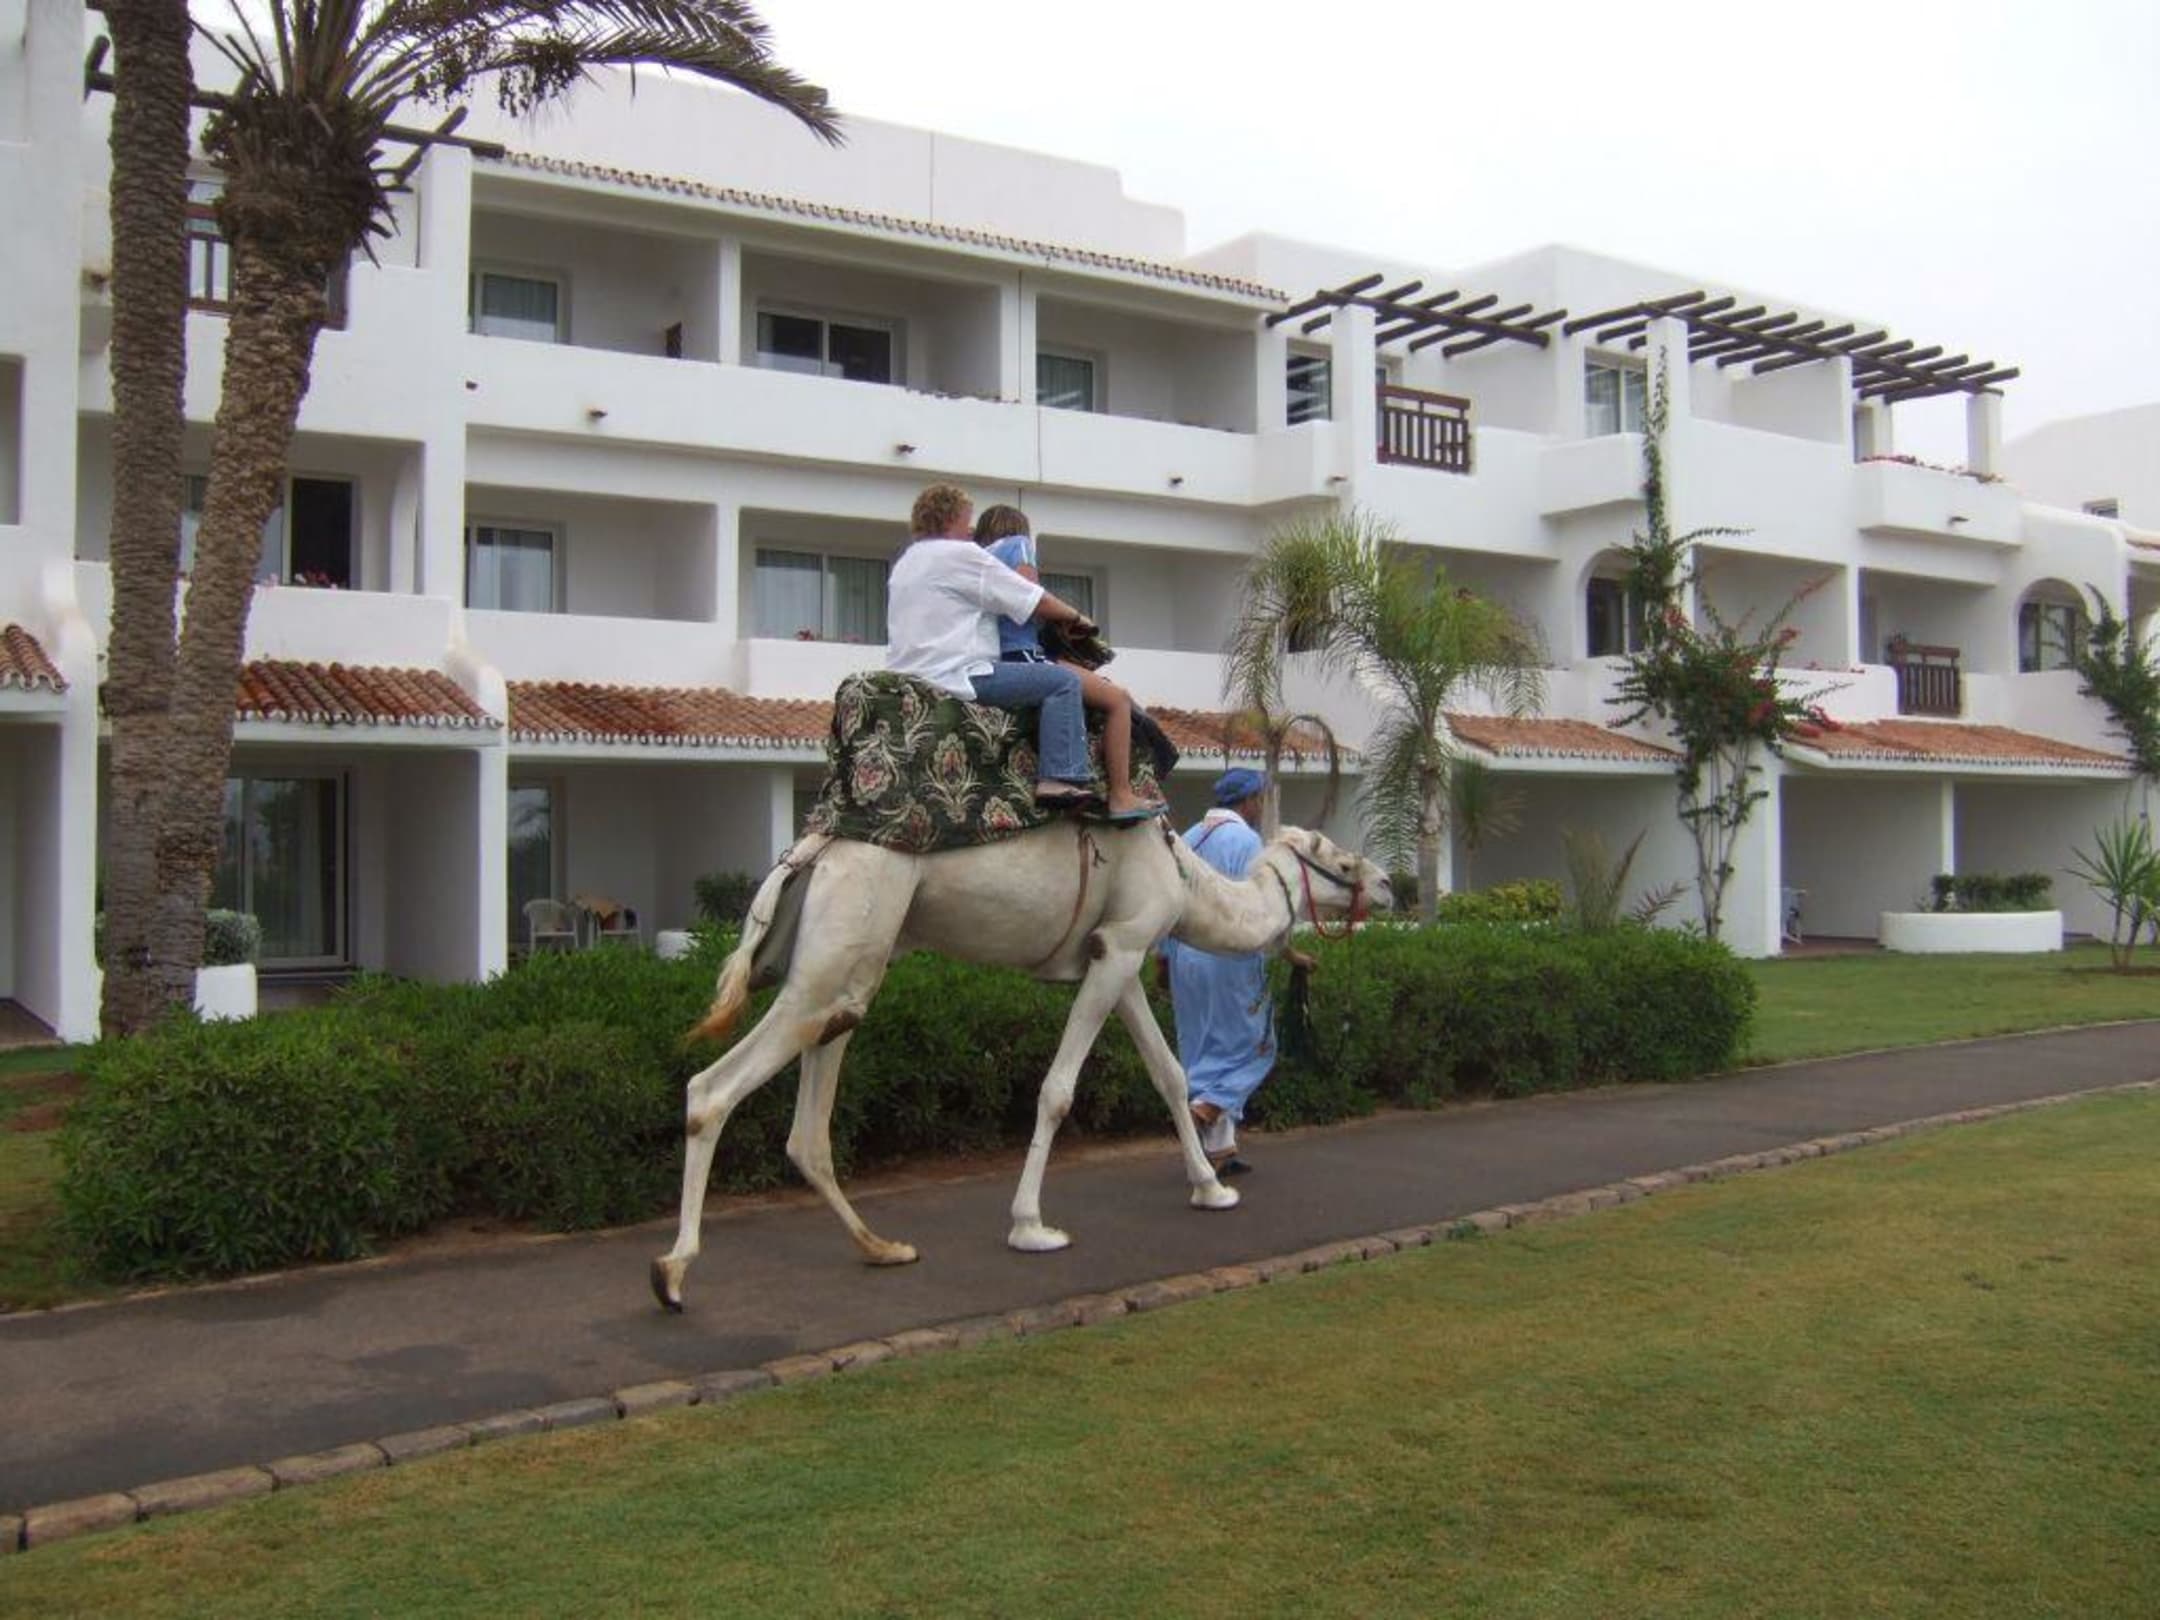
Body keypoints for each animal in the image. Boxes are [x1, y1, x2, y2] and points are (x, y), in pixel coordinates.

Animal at [651, 816, 1392, 1312]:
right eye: (1342, 860)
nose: (1390, 885)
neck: (1184, 880)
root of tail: (812, 852)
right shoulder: (1123, 946)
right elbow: (1059, 1090)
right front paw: (1032, 1226)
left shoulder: (1117, 958)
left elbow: (1170, 1074)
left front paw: (1211, 1187)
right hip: (839, 944)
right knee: (711, 1089)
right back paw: (674, 1274)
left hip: (852, 965)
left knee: (809, 1123)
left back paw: (881, 1247)